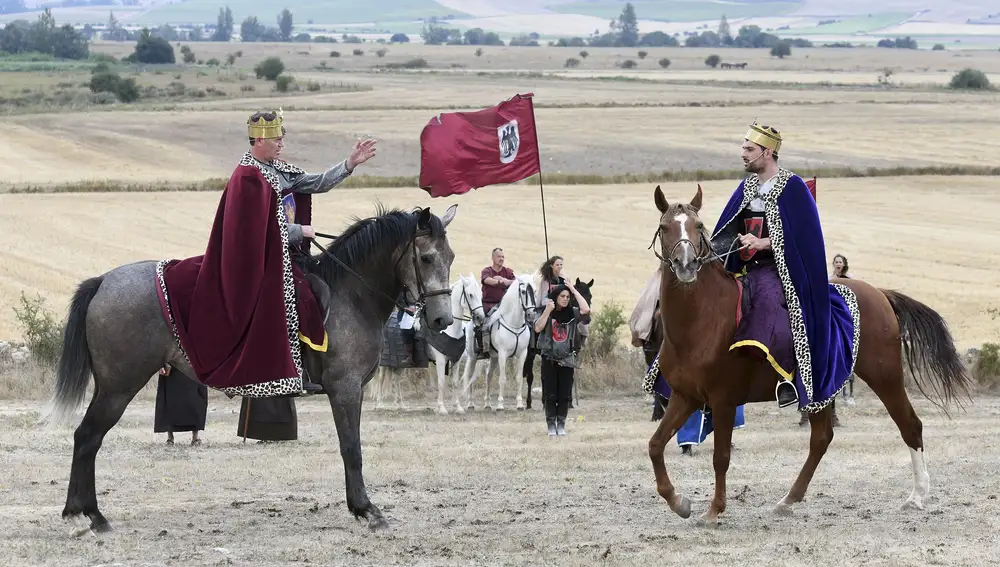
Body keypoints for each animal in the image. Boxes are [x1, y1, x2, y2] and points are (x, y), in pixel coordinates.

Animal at [42, 203, 458, 536]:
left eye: (450, 257)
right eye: (425, 258)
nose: (442, 320)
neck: (349, 296)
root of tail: (103, 281)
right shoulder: (346, 388)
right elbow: (351, 448)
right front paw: (367, 511)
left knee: (86, 439)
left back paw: (83, 514)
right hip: (119, 387)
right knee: (88, 438)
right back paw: (89, 516)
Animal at [460, 272, 540, 410]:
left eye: (535, 290)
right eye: (523, 291)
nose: (531, 314)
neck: (514, 324)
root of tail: (470, 323)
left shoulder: (522, 354)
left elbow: (519, 378)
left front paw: (519, 404)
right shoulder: (503, 354)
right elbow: (502, 379)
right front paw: (500, 404)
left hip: (493, 357)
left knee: (488, 376)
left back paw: (487, 404)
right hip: (472, 357)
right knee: (469, 376)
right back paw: (470, 403)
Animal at [648, 184, 968, 524]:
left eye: (698, 226)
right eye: (664, 227)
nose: (685, 265)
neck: (701, 319)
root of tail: (879, 294)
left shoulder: (723, 400)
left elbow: (720, 456)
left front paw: (713, 511)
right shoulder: (686, 396)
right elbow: (655, 445)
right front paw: (678, 502)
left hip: (885, 375)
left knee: (909, 425)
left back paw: (917, 496)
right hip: (823, 386)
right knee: (822, 438)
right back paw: (789, 499)